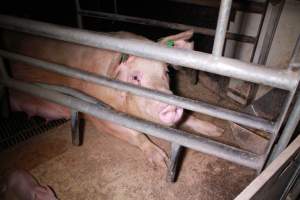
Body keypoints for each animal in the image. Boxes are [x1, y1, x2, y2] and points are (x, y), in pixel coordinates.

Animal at [0, 29, 223, 167]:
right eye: (135, 77)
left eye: (166, 72)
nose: (170, 106)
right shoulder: (97, 111)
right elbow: (136, 134)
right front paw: (162, 160)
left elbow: (188, 118)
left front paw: (217, 131)